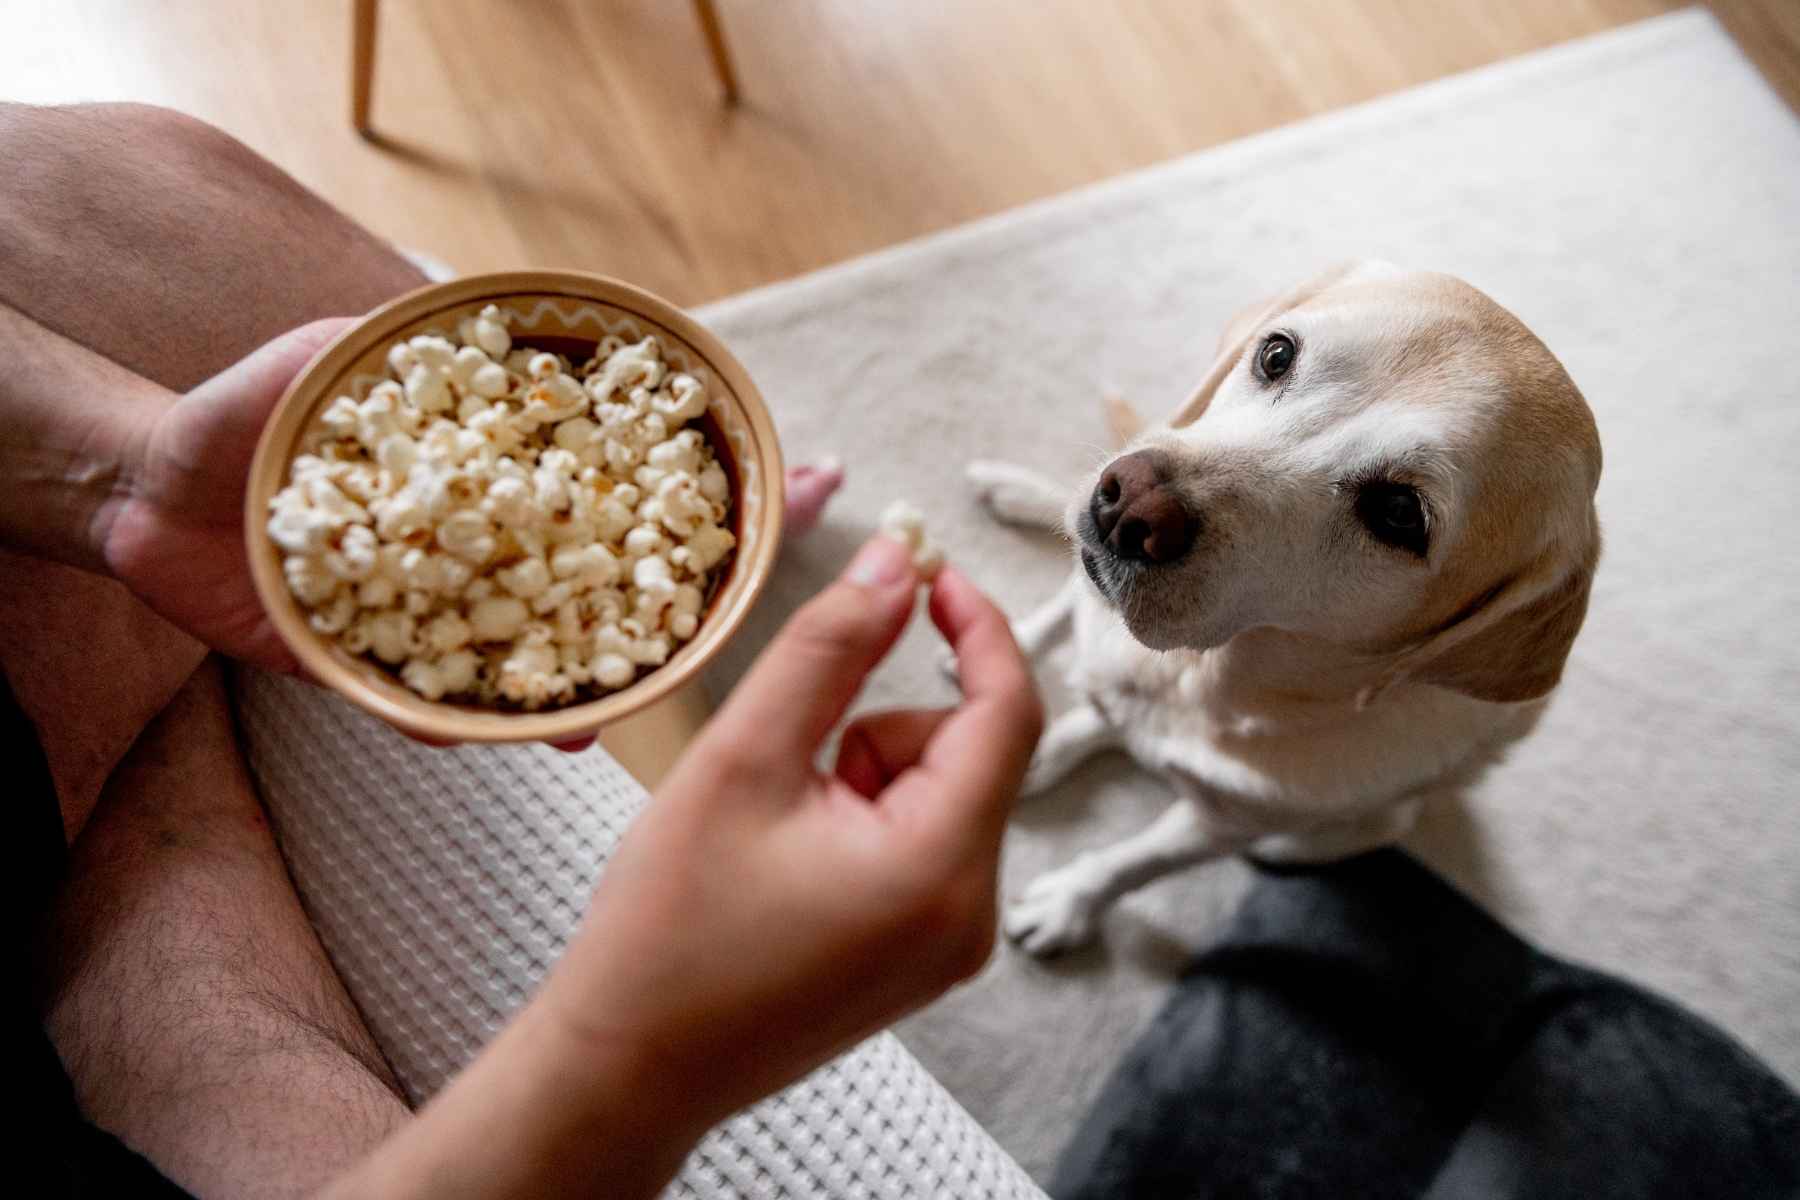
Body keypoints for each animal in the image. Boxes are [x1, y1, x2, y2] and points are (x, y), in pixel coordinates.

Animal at [972, 260, 1605, 957]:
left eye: (1399, 513)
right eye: (1277, 354)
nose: (1130, 505)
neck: (1199, 672)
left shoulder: (1224, 826)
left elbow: (1134, 863)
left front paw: (1068, 903)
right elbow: (1059, 623)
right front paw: (1013, 657)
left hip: (1336, 830)